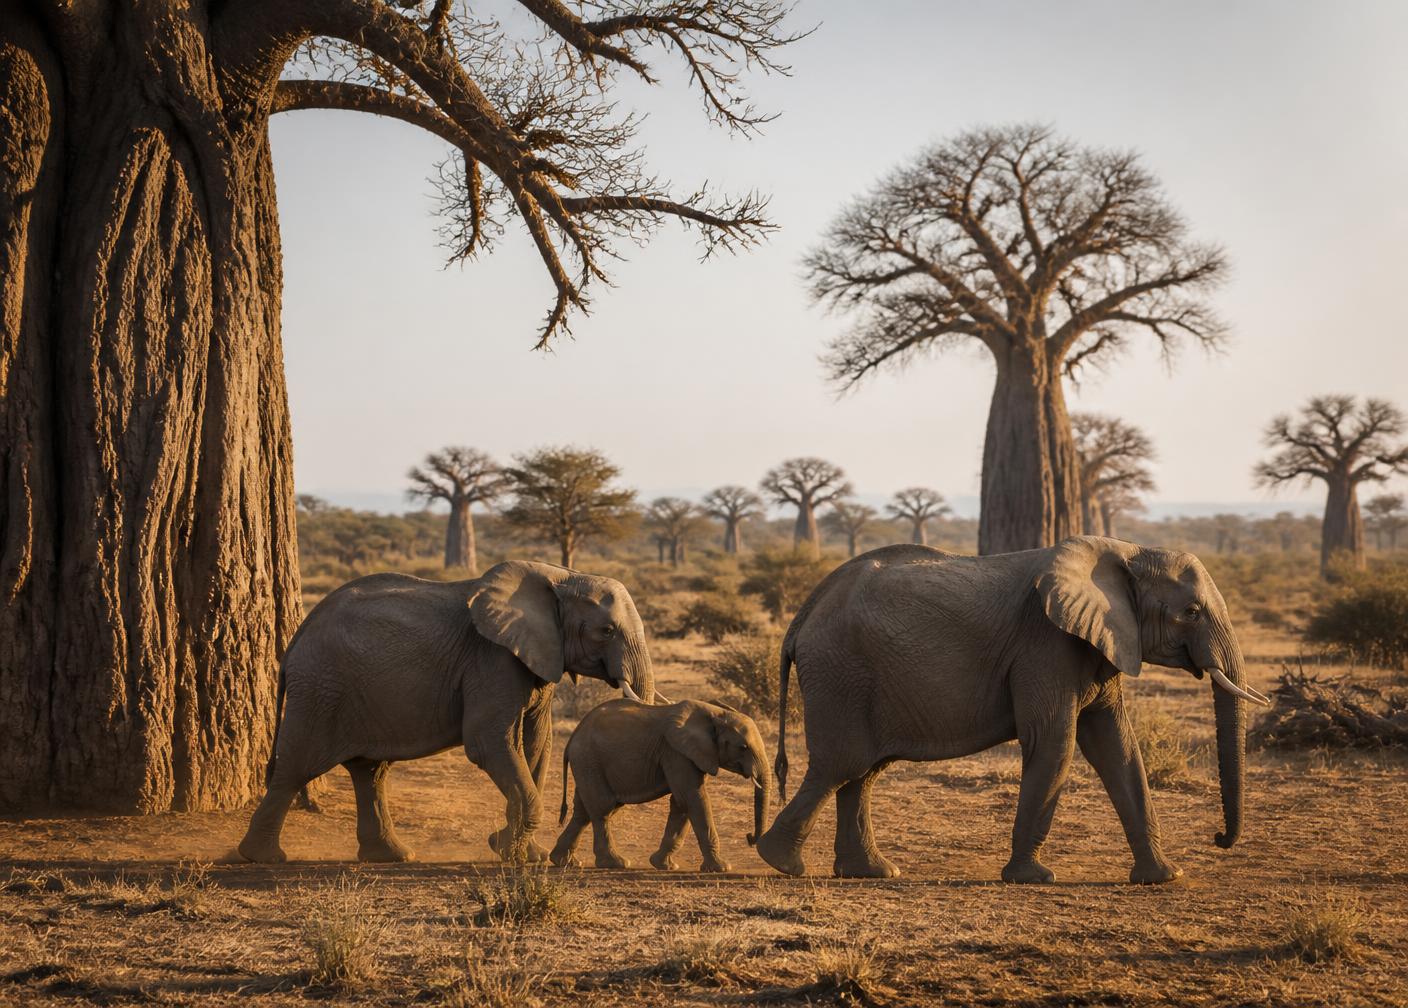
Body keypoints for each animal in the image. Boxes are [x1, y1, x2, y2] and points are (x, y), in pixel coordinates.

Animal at [237, 560, 655, 864]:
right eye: (606, 631)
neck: (562, 576)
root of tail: (295, 642)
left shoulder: (537, 659)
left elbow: (537, 745)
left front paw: (524, 853)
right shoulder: (492, 658)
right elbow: (490, 743)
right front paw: (505, 848)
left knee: (369, 772)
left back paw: (392, 856)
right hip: (320, 689)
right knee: (296, 767)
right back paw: (262, 858)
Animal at [549, 698, 771, 872]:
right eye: (743, 747)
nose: (749, 837)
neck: (715, 713)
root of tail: (573, 737)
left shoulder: (695, 755)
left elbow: (681, 803)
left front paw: (664, 865)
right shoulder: (676, 752)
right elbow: (692, 798)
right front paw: (721, 868)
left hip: (588, 764)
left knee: (584, 811)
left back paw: (565, 862)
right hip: (589, 759)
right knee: (602, 808)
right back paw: (615, 863)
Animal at [755, 536, 1270, 883]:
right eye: (1191, 613)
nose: (1219, 839)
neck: (1127, 551)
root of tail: (802, 616)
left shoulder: (1100, 645)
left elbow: (1118, 749)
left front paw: (1164, 877)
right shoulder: (1046, 646)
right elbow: (1055, 742)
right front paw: (1033, 878)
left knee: (861, 772)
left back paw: (871, 872)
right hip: (841, 673)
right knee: (841, 765)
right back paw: (780, 862)